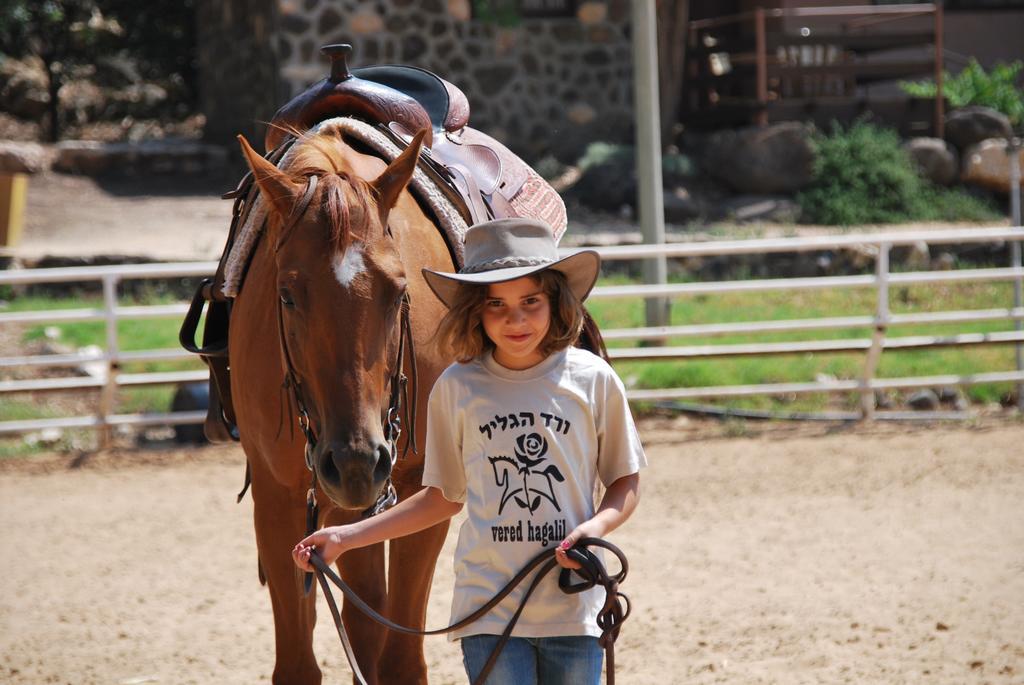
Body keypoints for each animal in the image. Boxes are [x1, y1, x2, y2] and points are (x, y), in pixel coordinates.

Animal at [232, 125, 456, 679]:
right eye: (287, 295)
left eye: (399, 291)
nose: (355, 460)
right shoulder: (276, 499)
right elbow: (298, 663)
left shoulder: (422, 488)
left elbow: (399, 660)